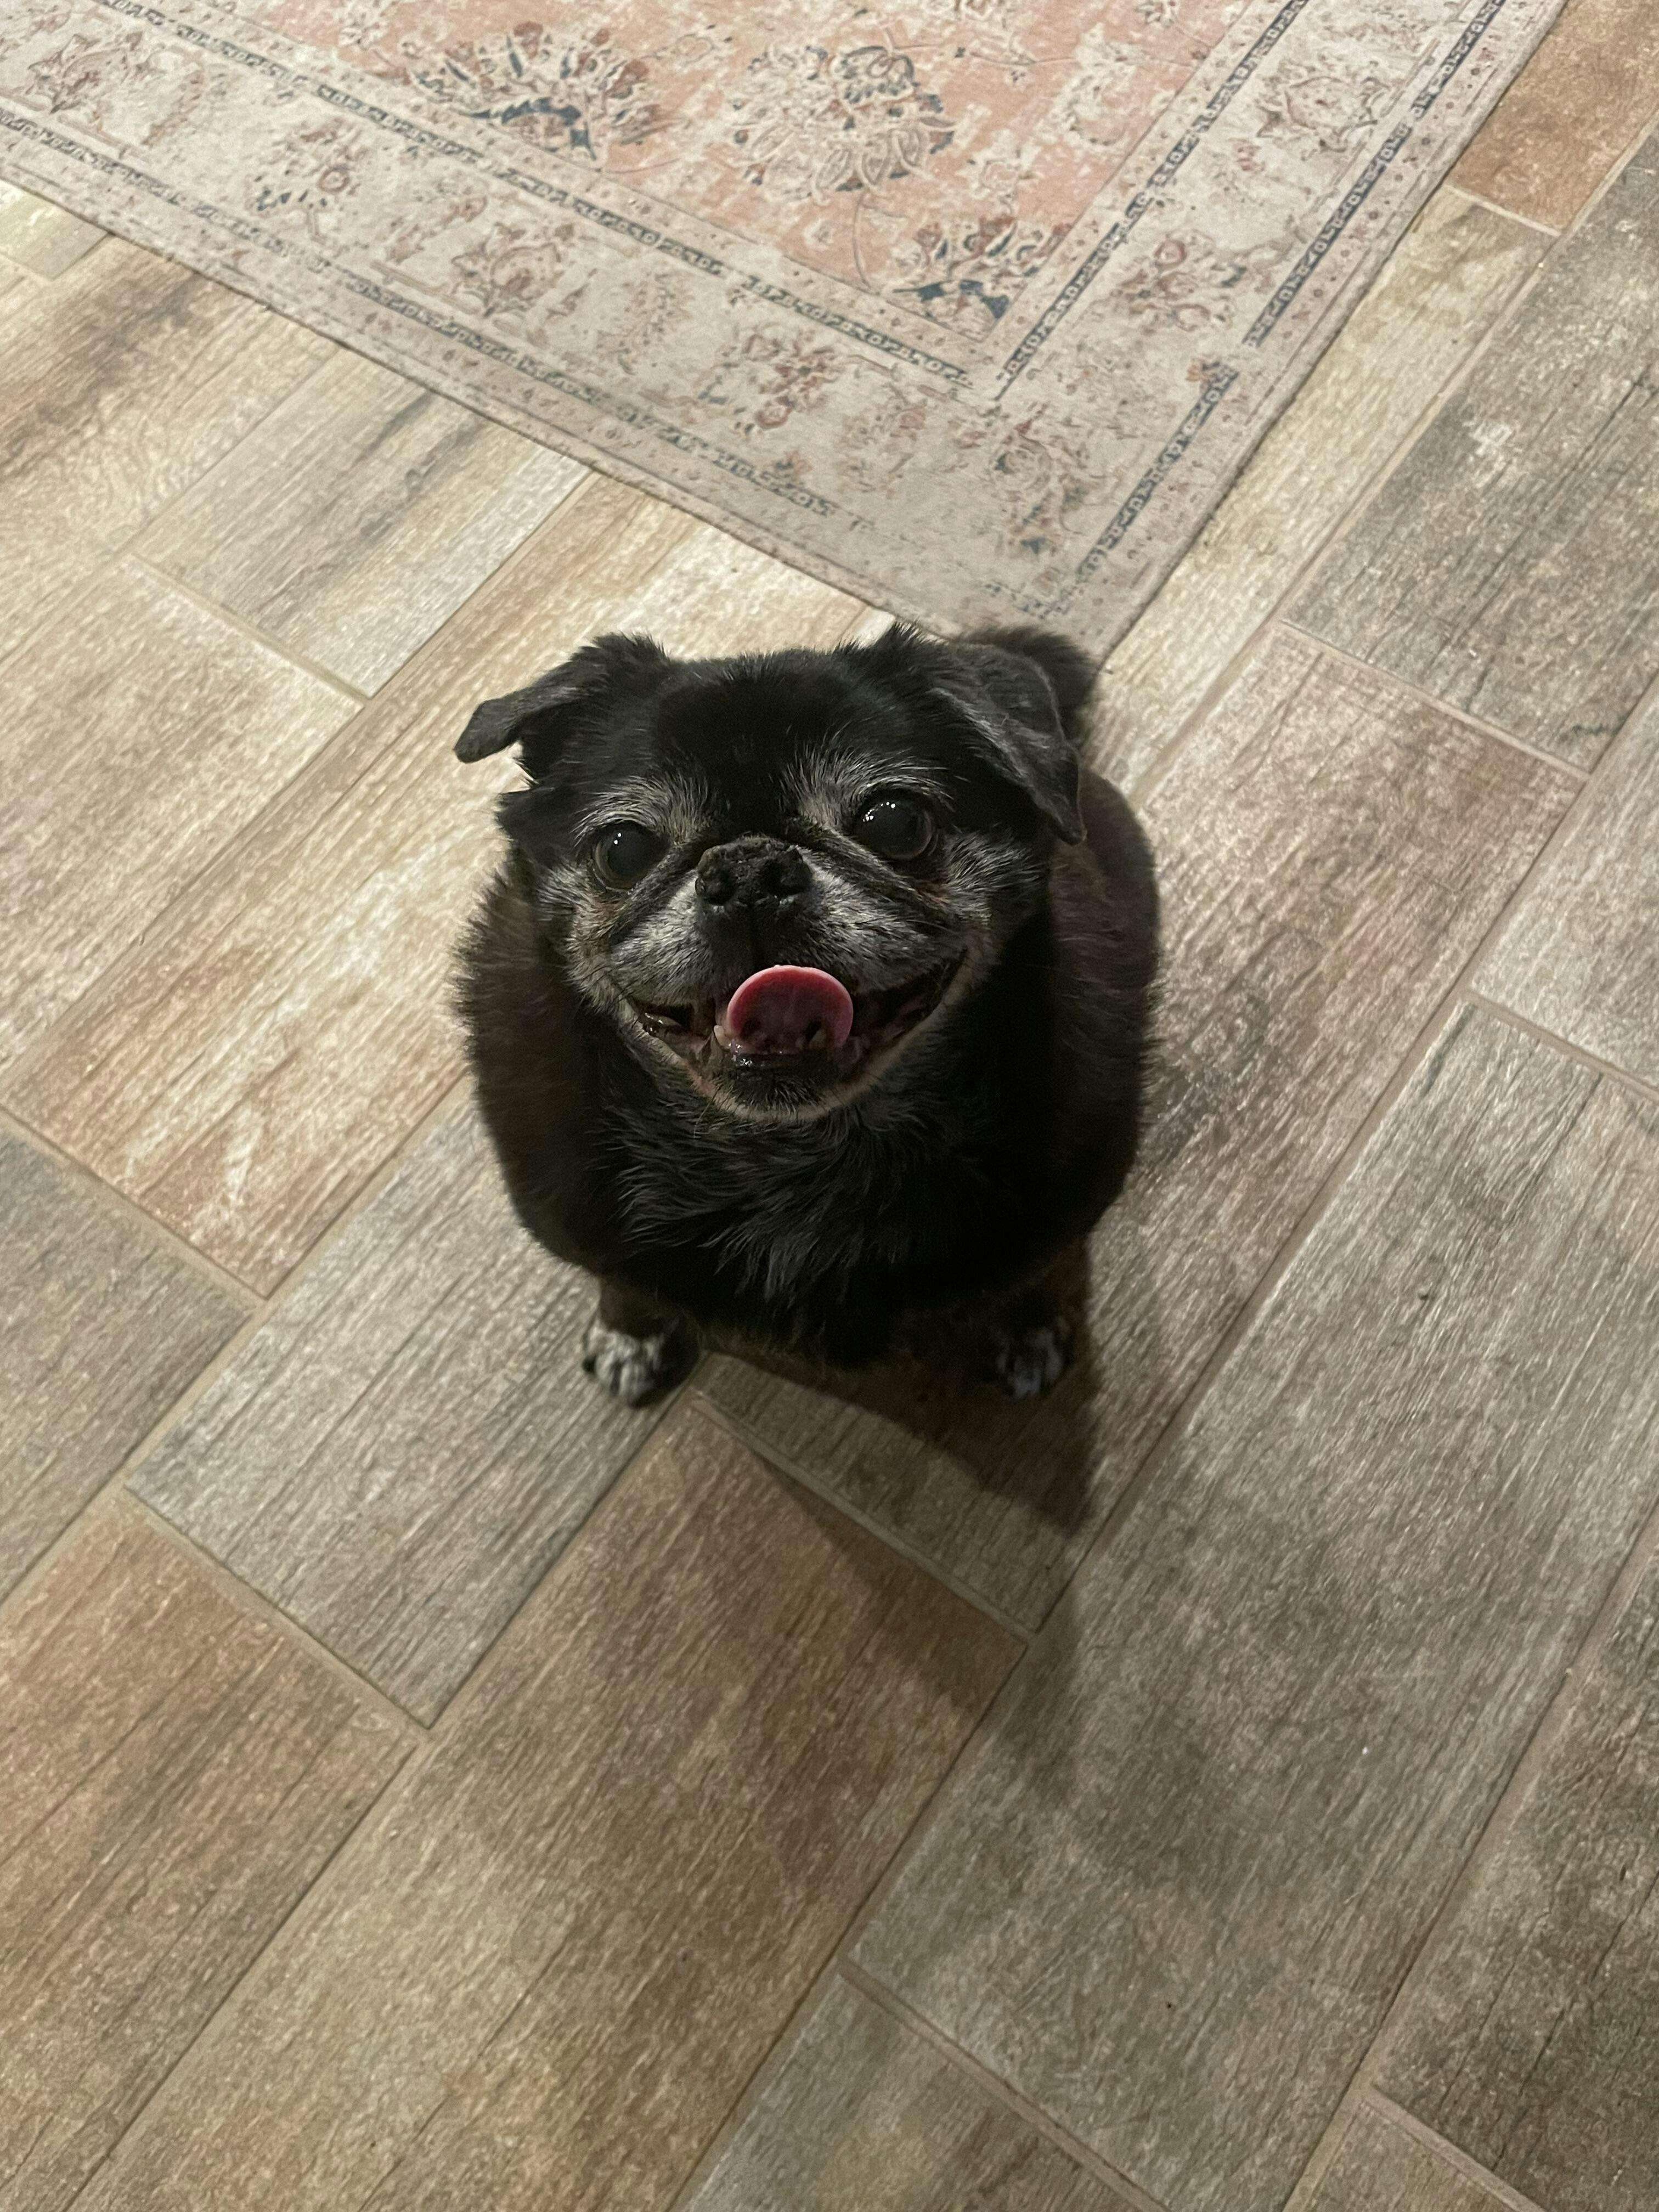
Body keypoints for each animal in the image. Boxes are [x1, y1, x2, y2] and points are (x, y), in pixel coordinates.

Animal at [453, 620, 1158, 1406]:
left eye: (898, 822)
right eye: (623, 849)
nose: (751, 872)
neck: (789, 1154)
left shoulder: (1052, 1219)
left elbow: (1023, 1277)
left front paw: (1026, 1329)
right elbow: (624, 1283)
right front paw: (631, 1332)